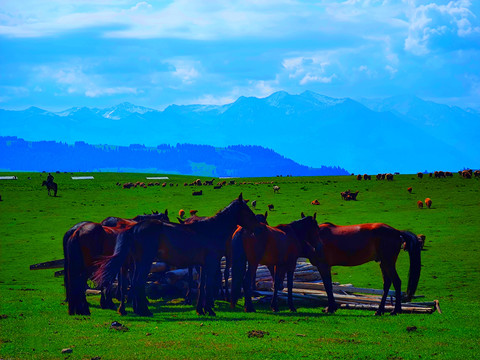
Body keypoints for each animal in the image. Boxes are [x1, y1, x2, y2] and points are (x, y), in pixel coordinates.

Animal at [93, 195, 266, 316]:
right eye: (247, 211)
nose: (259, 229)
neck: (211, 230)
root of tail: (133, 228)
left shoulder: (202, 265)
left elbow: (201, 285)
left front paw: (201, 309)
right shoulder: (211, 263)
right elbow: (208, 285)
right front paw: (210, 310)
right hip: (144, 262)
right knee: (136, 283)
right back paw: (144, 310)